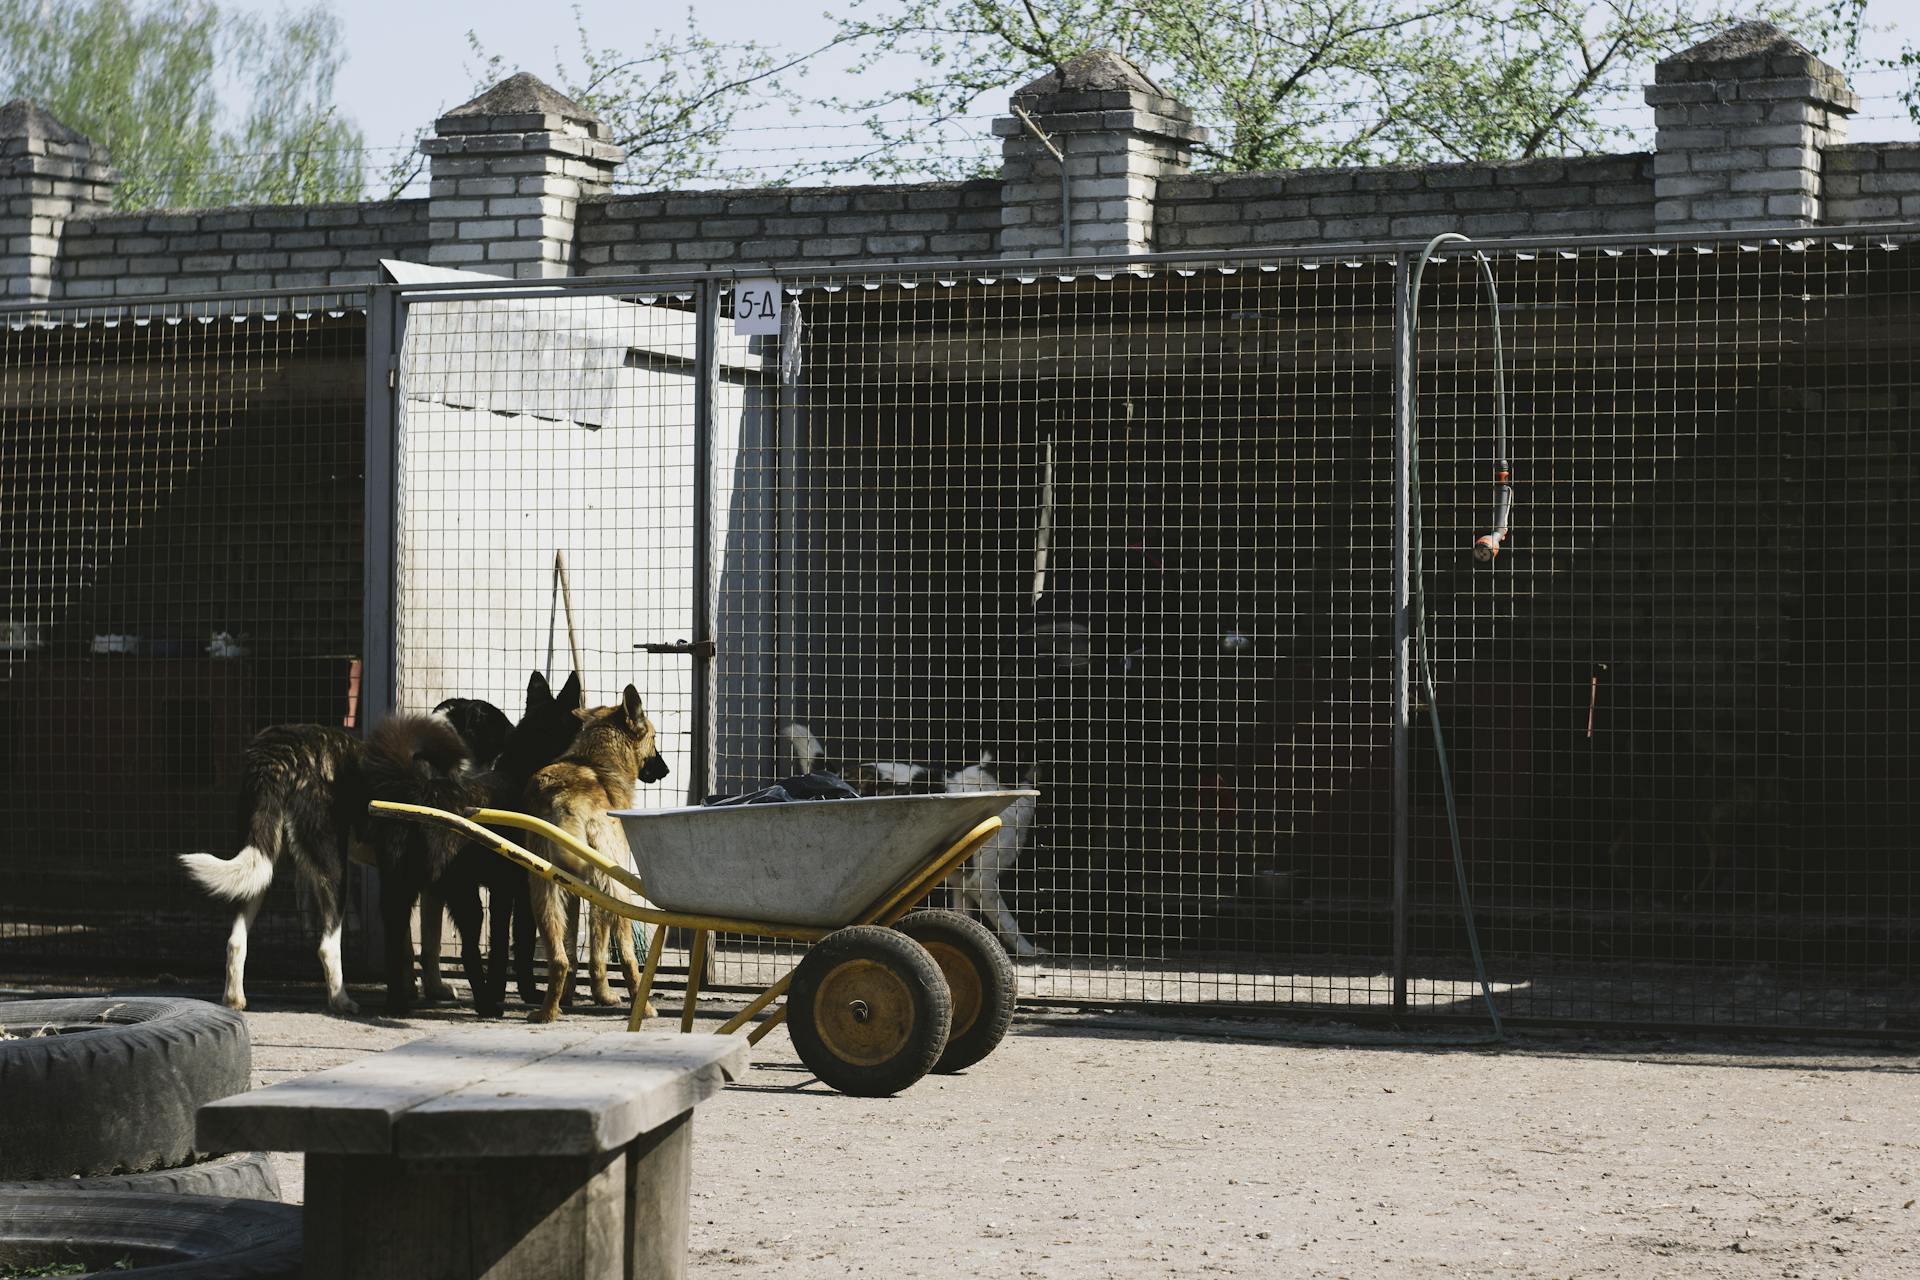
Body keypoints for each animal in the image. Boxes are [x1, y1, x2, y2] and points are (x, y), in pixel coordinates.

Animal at [529, 687, 672, 1028]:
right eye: (653, 737)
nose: (666, 770)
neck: (594, 760)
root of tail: (563, 796)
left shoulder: (572, 889)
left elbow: (574, 947)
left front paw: (572, 995)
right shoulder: (602, 885)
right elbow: (600, 944)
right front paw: (603, 994)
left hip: (541, 889)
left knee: (559, 958)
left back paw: (548, 1011)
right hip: (615, 889)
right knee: (628, 953)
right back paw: (644, 1007)